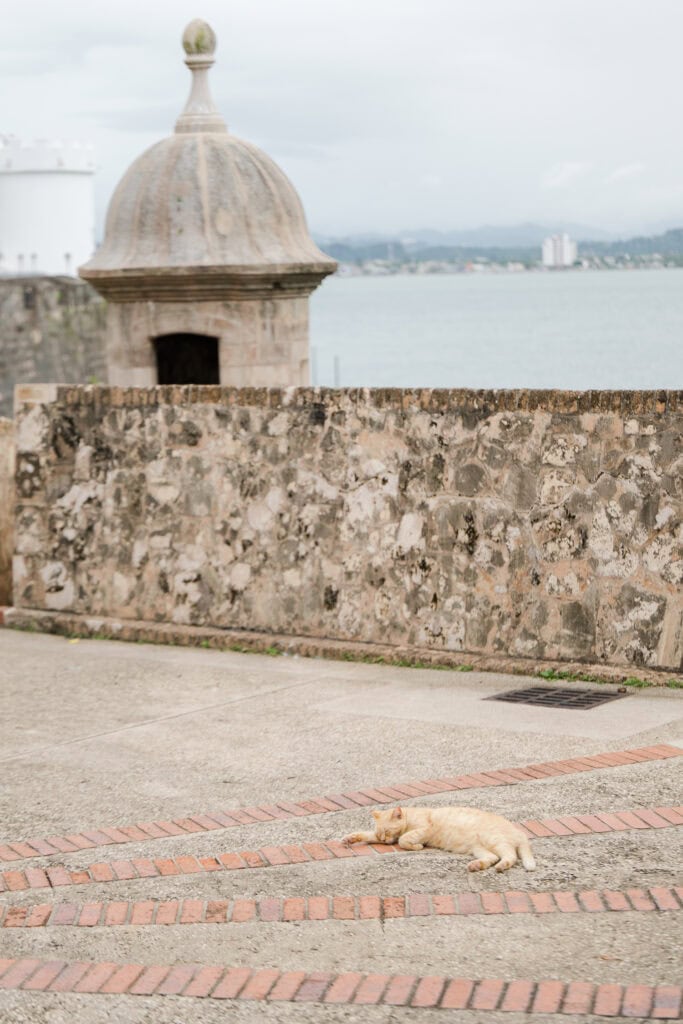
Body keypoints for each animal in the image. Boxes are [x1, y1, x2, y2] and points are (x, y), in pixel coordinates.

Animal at [342, 806, 532, 872]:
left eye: (387, 831)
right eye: (381, 834)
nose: (384, 840)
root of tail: (519, 833)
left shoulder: (425, 829)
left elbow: (404, 839)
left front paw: (416, 846)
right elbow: (365, 834)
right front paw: (349, 838)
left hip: (494, 840)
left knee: (510, 856)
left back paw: (501, 866)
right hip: (479, 848)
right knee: (492, 858)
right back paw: (476, 866)